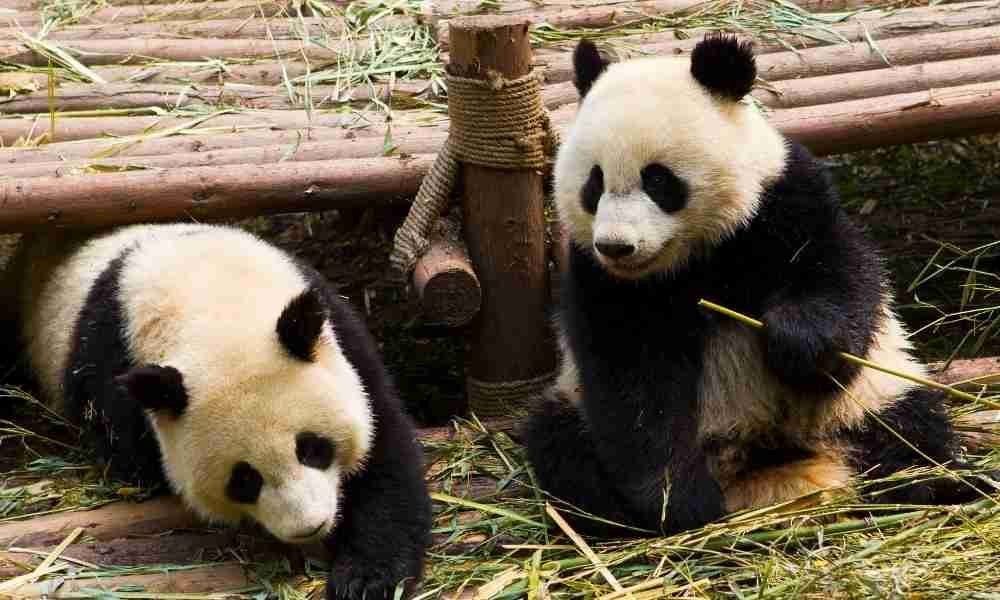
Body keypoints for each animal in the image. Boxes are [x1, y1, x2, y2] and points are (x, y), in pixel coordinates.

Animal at [3, 223, 434, 596]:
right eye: (243, 479)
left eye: (313, 448)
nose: (309, 527)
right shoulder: (108, 365)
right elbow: (133, 460)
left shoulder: (339, 334)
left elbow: (385, 451)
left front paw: (366, 577)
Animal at [528, 34, 996, 536]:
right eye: (593, 185)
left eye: (657, 179)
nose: (616, 246)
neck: (694, 259)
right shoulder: (600, 281)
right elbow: (634, 388)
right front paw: (681, 503)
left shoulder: (785, 201)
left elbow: (842, 280)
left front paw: (800, 344)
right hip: (571, 406)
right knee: (560, 448)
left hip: (869, 395)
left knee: (909, 431)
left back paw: (944, 485)